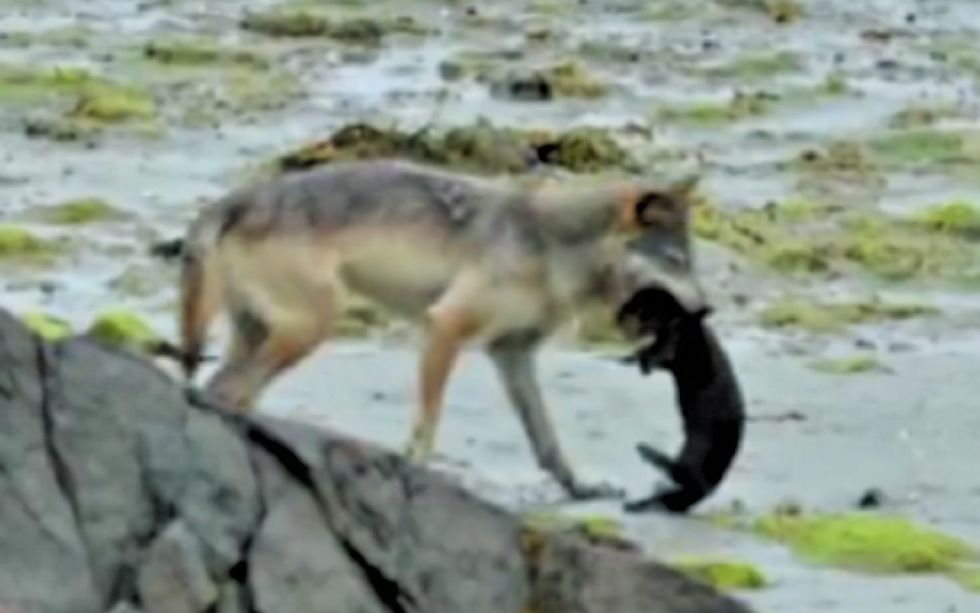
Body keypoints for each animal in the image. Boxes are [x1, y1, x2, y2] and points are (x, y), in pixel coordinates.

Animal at [149, 157, 708, 498]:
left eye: (691, 263)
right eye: (676, 262)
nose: (706, 311)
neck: (550, 247)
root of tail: (233, 200)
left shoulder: (512, 356)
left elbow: (547, 439)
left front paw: (580, 489)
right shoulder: (446, 328)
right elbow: (428, 423)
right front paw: (415, 470)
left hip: (264, 336)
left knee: (221, 390)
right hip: (310, 328)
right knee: (228, 392)